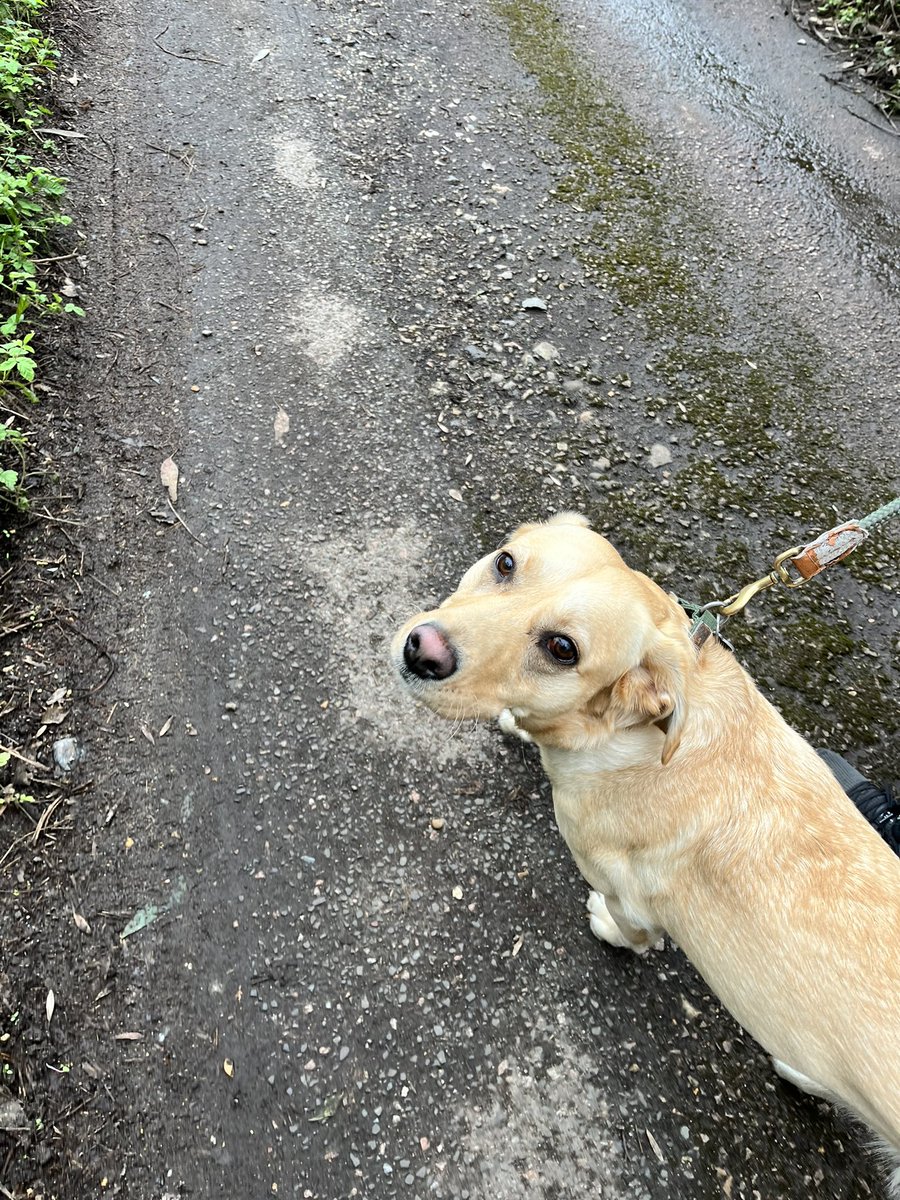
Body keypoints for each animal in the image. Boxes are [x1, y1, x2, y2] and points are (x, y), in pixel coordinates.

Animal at [393, 513, 900, 1190]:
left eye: (563, 649)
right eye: (505, 563)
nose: (421, 650)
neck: (634, 734)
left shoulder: (625, 889)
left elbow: (630, 927)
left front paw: (611, 932)